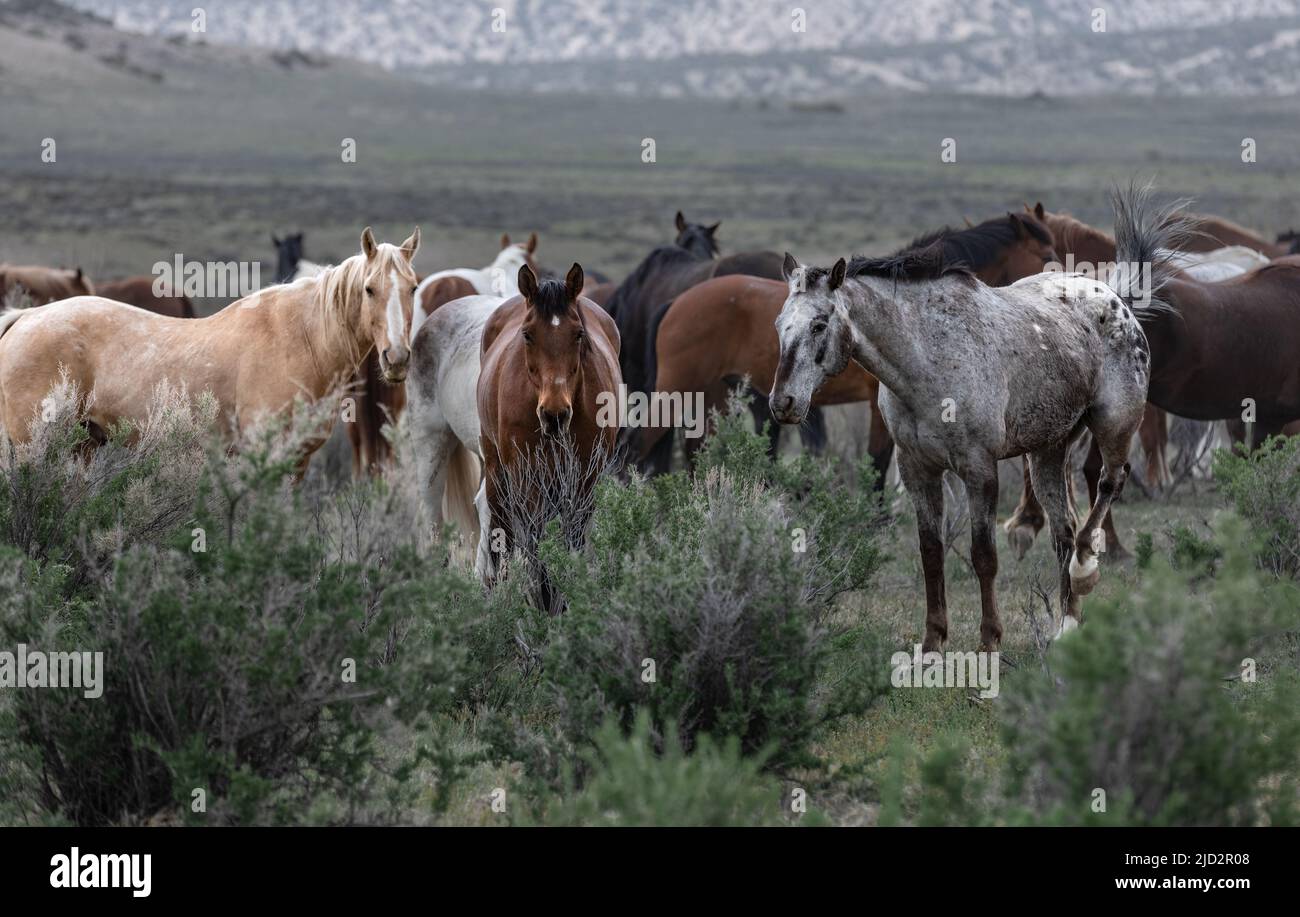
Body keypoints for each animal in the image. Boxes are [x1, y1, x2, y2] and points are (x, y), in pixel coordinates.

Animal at [0, 228, 421, 474]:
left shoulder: (298, 461)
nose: (397, 358)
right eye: (369, 289)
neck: (301, 339)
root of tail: (24, 318)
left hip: (81, 445)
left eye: (414, 288)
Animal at [477, 263, 620, 587]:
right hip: (495, 472)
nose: (555, 414)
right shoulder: (526, 481)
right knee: (501, 535)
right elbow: (534, 546)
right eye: (528, 335)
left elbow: (573, 543)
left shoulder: (583, 482)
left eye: (578, 334)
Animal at [769, 193, 1154, 648]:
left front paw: (989, 641)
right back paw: (1066, 627)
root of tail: (1115, 298)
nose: (783, 402)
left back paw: (1084, 573)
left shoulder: (979, 469)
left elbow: (983, 556)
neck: (928, 357)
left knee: (1108, 487)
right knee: (1062, 531)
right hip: (1047, 452)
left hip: (1115, 425)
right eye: (780, 324)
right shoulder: (917, 469)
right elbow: (931, 554)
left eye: (819, 324)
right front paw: (933, 643)